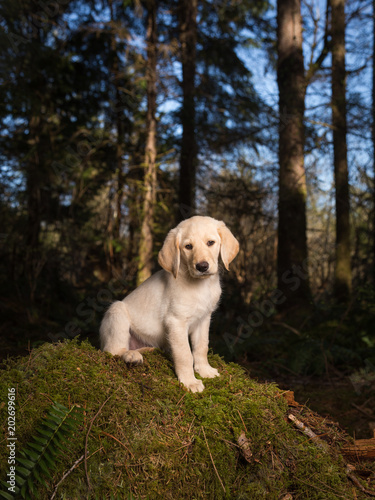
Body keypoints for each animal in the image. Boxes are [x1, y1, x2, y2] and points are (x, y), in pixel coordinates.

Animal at [100, 217, 239, 392]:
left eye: (210, 243)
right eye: (188, 246)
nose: (202, 266)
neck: (200, 285)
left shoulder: (204, 319)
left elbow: (201, 347)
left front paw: (204, 370)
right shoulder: (176, 322)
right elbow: (185, 354)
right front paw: (189, 381)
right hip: (116, 311)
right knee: (112, 350)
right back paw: (131, 355)